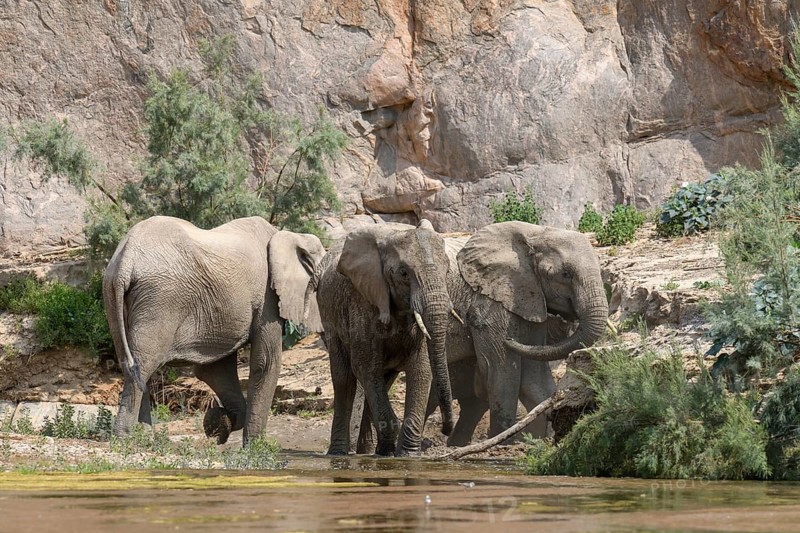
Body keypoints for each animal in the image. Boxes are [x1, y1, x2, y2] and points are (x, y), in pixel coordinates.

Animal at [103, 215, 325, 446]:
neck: (290, 236)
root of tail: (126, 260)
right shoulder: (267, 300)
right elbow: (265, 363)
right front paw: (254, 448)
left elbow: (216, 370)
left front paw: (217, 424)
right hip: (159, 298)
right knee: (143, 363)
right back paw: (127, 440)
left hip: (113, 295)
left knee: (132, 364)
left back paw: (144, 439)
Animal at [309, 220, 456, 456]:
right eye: (403, 273)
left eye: (448, 270)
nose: (445, 429)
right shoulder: (362, 300)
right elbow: (364, 366)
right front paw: (390, 452)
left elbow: (421, 369)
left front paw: (408, 455)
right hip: (329, 316)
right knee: (345, 379)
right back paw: (340, 453)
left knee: (382, 381)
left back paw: (369, 450)